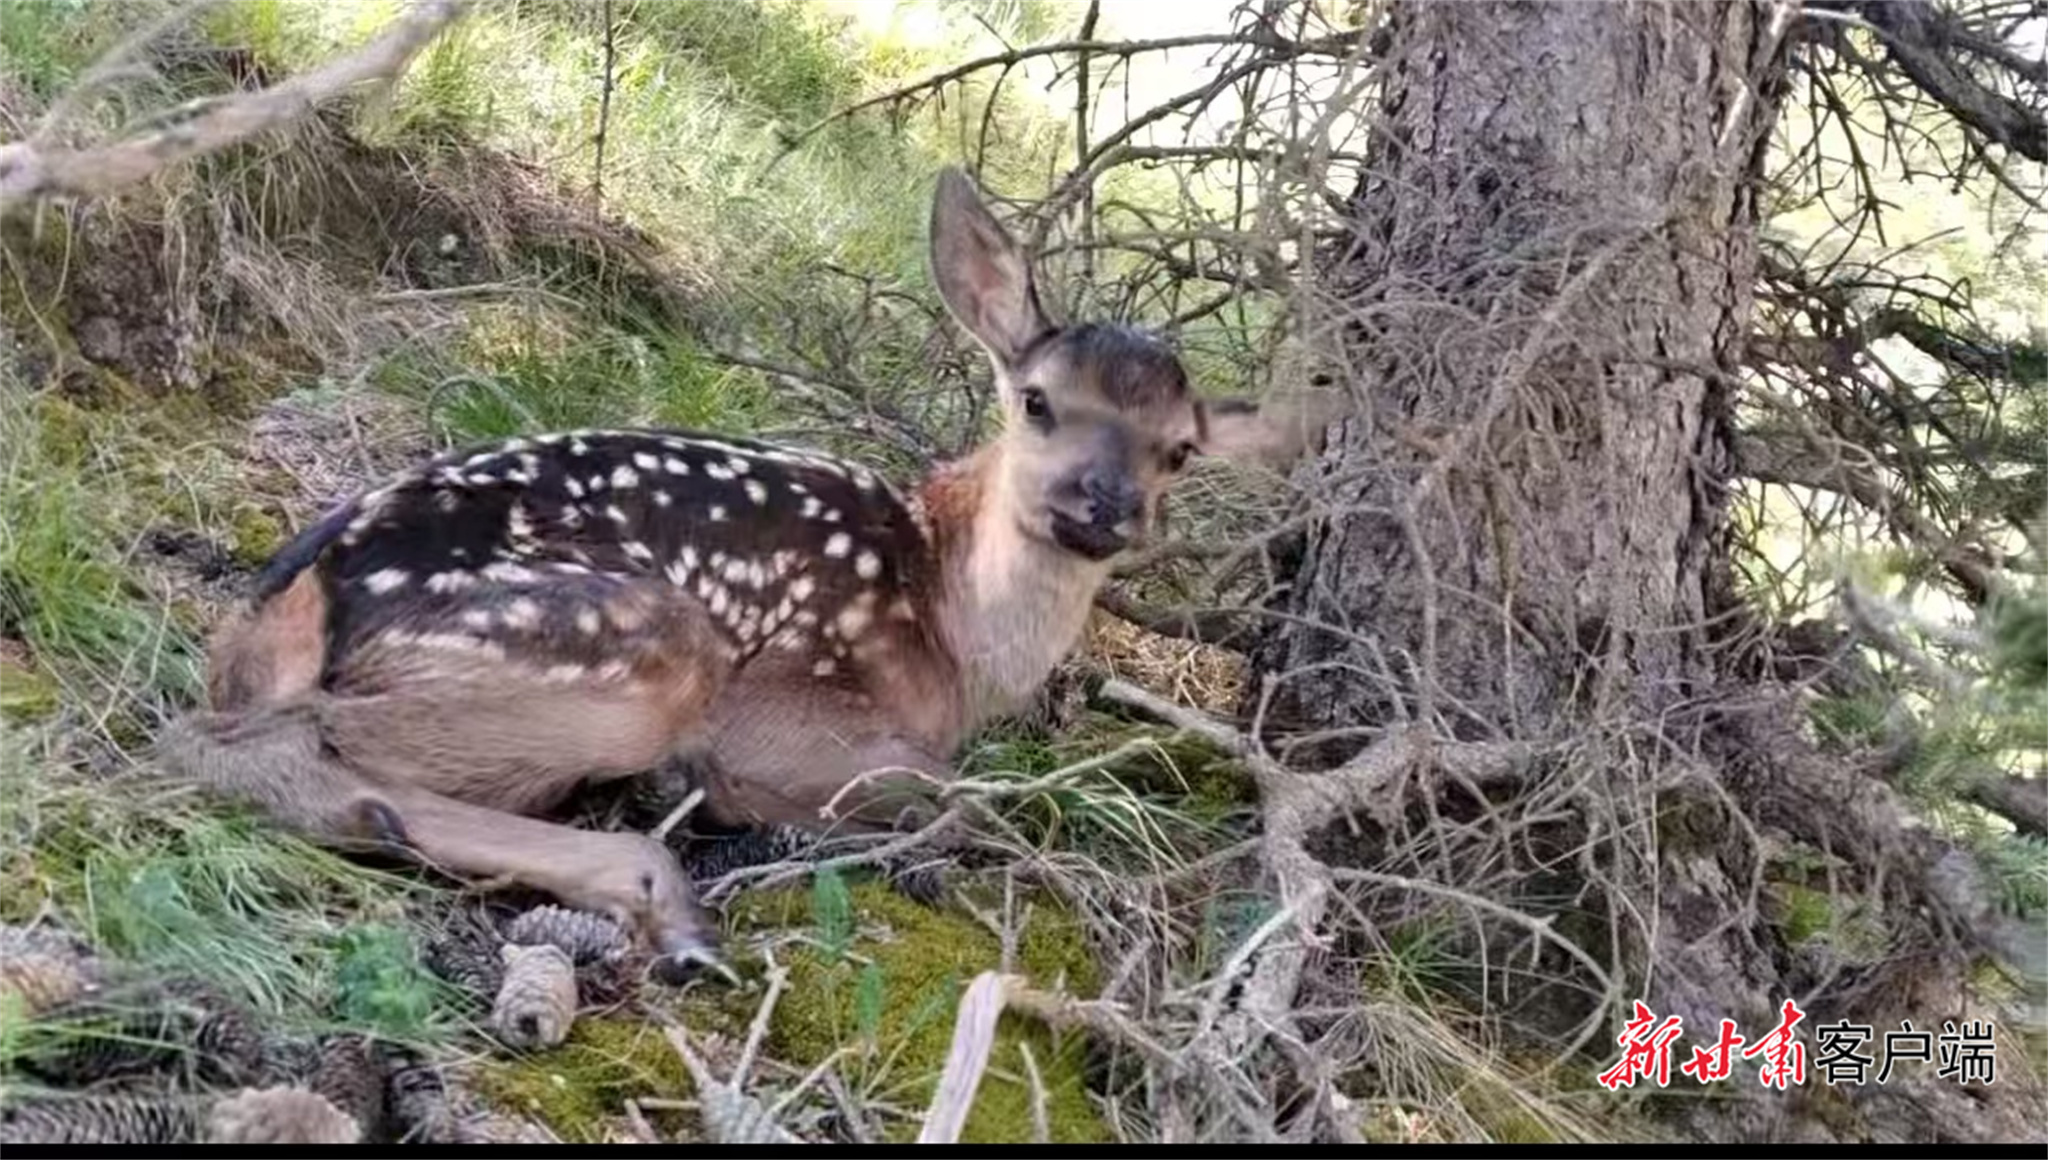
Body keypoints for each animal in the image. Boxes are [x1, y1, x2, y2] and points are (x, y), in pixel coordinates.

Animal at [159, 168, 1326, 982]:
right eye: (1036, 400)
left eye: (1179, 452)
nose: (1102, 503)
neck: (948, 627)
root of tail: (286, 605)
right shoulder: (787, 705)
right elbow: (954, 798)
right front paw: (778, 814)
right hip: (634, 644)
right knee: (245, 751)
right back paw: (668, 895)